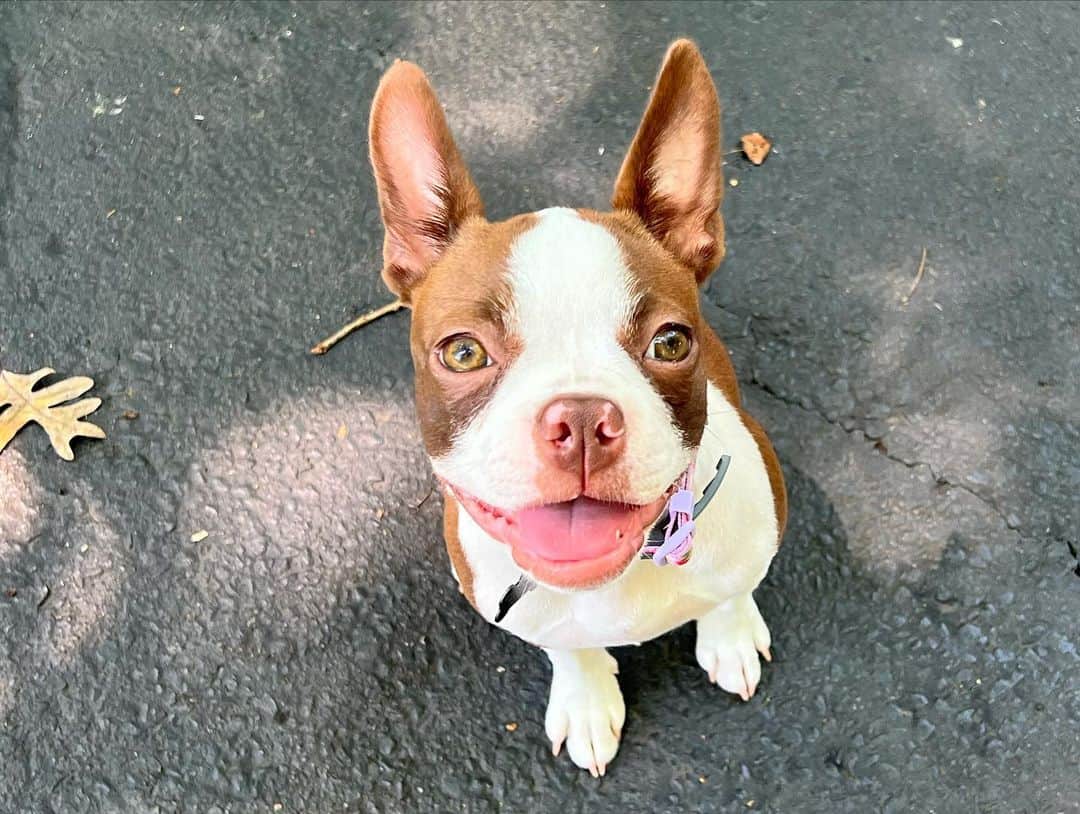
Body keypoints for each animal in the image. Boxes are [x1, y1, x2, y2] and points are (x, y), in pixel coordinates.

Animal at [369, 39, 786, 772]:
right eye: (463, 353)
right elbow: (567, 647)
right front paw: (586, 697)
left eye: (672, 342)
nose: (584, 418)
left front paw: (730, 634)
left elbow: (734, 592)